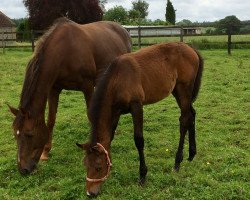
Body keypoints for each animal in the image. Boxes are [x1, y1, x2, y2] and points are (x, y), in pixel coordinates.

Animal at [8, 17, 132, 175]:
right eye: (15, 133)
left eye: (29, 134)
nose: (23, 169)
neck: (65, 51)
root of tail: (122, 29)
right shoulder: (54, 89)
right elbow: (51, 120)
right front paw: (46, 151)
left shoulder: (87, 86)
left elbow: (91, 117)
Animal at [77, 42, 204, 197]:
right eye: (85, 165)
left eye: (98, 167)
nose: (90, 193)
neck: (118, 79)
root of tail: (191, 49)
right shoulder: (116, 112)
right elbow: (110, 137)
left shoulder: (136, 106)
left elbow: (139, 140)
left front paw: (142, 175)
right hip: (177, 91)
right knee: (191, 114)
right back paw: (191, 154)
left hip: (183, 89)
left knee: (184, 119)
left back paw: (177, 162)